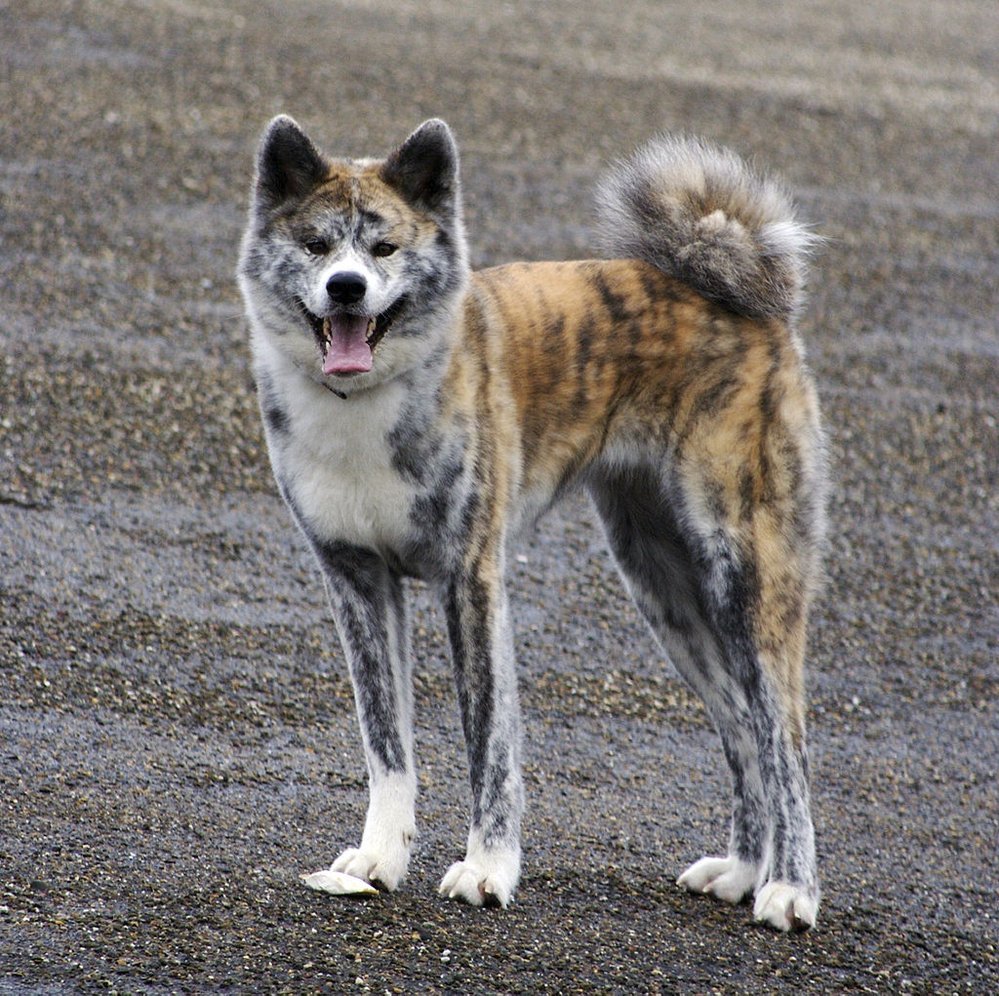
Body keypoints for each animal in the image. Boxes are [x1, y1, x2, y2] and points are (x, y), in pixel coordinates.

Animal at [236, 118, 828, 932]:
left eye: (383, 248)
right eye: (318, 245)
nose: (346, 287)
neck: (364, 402)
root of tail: (751, 305)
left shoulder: (471, 582)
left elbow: (489, 745)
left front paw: (488, 869)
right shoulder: (356, 581)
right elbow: (386, 746)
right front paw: (380, 858)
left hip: (746, 581)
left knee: (785, 743)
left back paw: (790, 889)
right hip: (665, 590)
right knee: (742, 732)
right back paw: (741, 870)